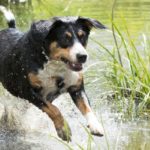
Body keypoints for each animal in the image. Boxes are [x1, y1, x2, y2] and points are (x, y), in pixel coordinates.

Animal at [0, 5, 106, 142]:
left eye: (82, 36)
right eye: (65, 38)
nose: (83, 56)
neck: (55, 66)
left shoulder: (76, 87)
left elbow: (86, 107)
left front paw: (95, 125)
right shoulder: (29, 91)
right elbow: (53, 109)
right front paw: (63, 130)